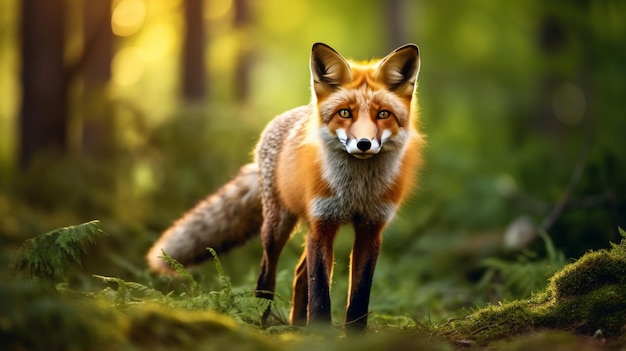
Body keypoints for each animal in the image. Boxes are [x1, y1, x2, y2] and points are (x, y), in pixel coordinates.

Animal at [146, 42, 422, 332]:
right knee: (267, 274)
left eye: (383, 114)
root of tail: (291, 113)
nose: (364, 144)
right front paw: (320, 333)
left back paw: (297, 325)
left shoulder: (370, 229)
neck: (355, 191)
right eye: (345, 113)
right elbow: (320, 291)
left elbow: (358, 295)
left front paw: (353, 335)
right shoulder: (322, 225)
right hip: (277, 227)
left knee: (300, 274)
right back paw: (263, 322)